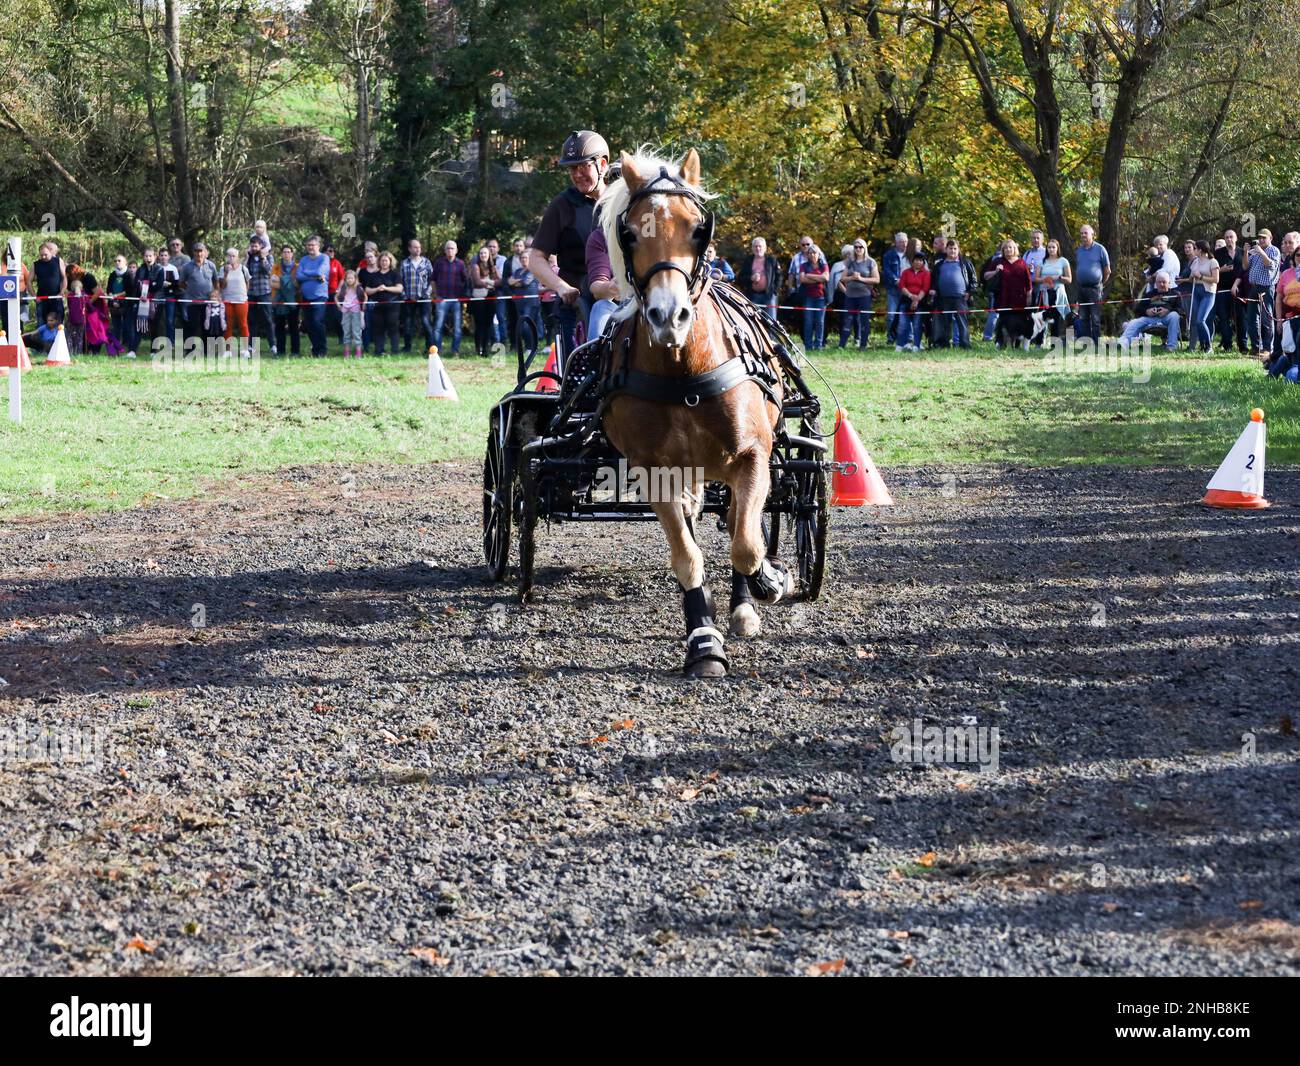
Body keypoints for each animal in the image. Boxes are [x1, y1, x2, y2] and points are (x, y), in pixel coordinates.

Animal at [597, 147, 794, 678]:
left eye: (698, 227)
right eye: (630, 233)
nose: (670, 316)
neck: (685, 369)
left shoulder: (753, 456)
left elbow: (745, 545)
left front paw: (764, 585)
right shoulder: (655, 471)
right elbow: (687, 556)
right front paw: (703, 642)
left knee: (739, 523)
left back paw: (750, 598)